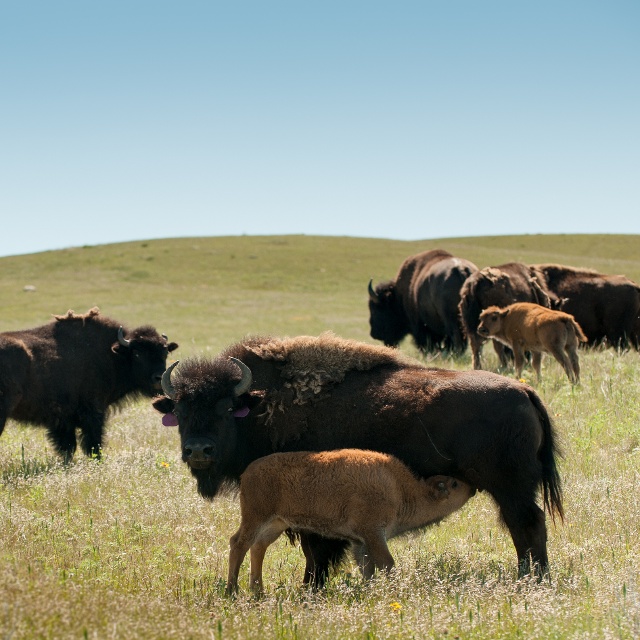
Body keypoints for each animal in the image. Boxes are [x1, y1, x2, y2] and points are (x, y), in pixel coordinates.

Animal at [0, 306, 178, 460]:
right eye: (137, 353)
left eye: (164, 352)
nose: (158, 377)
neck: (112, 355)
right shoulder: (93, 414)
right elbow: (93, 444)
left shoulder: (64, 421)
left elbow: (68, 447)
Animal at [228, 450, 472, 596]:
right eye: (454, 484)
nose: (471, 487)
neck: (400, 490)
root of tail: (247, 473)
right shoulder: (374, 534)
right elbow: (386, 563)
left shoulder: (360, 541)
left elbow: (367, 568)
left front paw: (369, 590)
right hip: (256, 518)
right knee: (239, 544)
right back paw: (232, 590)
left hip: (275, 524)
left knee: (258, 547)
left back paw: (258, 591)